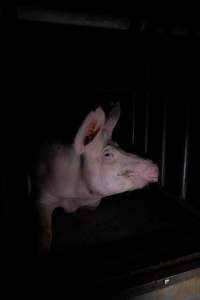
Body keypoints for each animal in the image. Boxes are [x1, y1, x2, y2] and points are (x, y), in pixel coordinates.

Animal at [32, 102, 158, 253]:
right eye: (107, 154)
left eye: (119, 146)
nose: (155, 168)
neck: (73, 197)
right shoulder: (42, 197)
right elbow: (45, 231)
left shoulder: (93, 201)